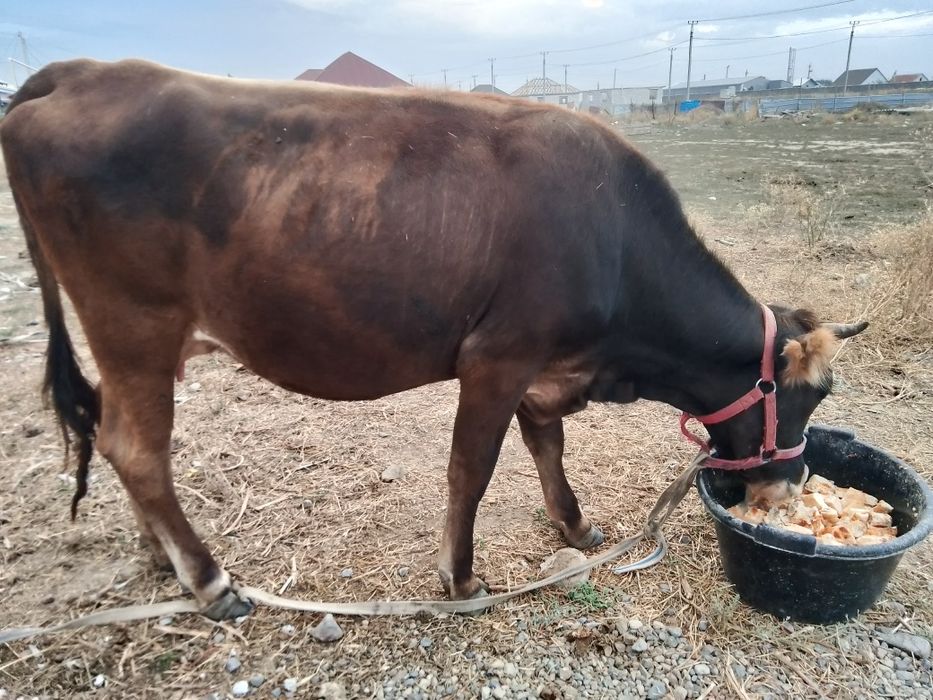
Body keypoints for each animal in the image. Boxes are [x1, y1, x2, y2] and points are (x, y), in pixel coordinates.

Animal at [0, 59, 866, 620]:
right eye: (808, 398)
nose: (788, 485)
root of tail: (84, 72)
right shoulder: (497, 357)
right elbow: (470, 471)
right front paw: (460, 578)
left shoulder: (543, 368)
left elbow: (547, 447)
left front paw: (575, 527)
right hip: (136, 322)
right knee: (137, 447)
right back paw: (210, 581)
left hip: (128, 338)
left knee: (113, 433)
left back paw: (162, 556)